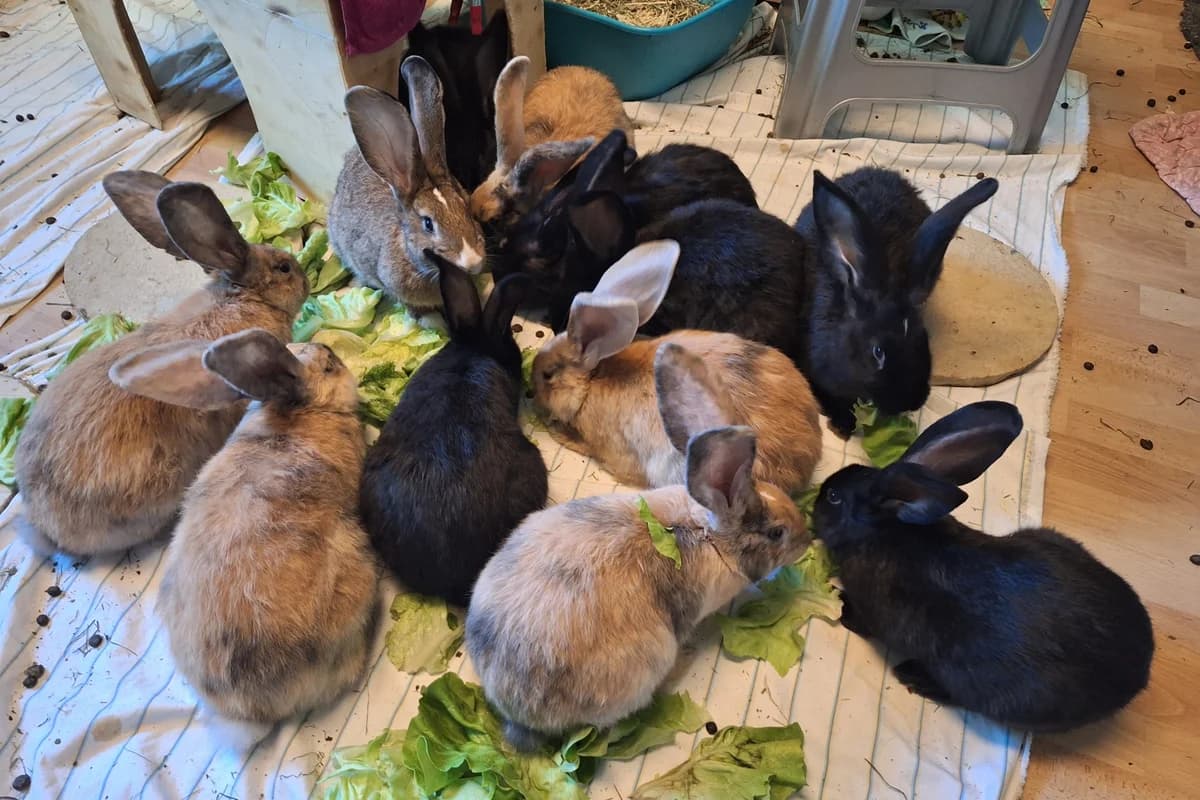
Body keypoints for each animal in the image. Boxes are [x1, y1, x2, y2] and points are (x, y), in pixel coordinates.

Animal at [813, 400, 1154, 731]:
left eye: (833, 497)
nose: (815, 501)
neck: (883, 532)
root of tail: (1138, 677)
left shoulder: (874, 612)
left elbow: (862, 621)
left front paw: (841, 604)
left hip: (986, 687)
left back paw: (915, 676)